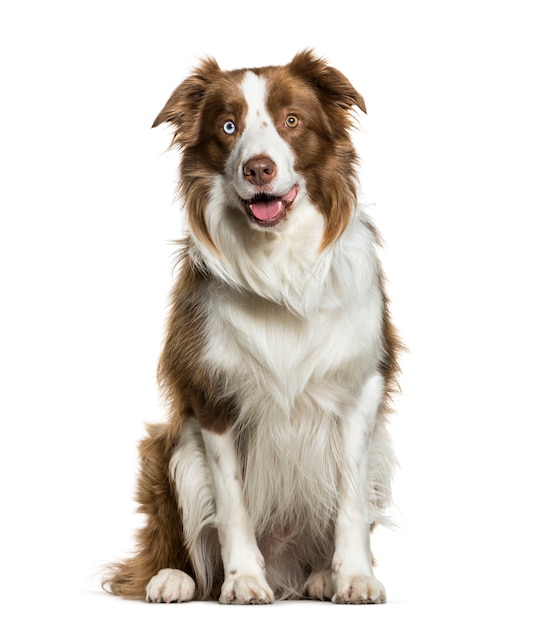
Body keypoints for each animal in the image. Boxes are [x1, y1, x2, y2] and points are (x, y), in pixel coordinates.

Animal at [103, 50, 398, 604]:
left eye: (292, 121)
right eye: (228, 126)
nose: (258, 167)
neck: (280, 263)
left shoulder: (360, 387)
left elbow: (350, 500)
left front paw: (354, 577)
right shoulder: (211, 396)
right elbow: (232, 501)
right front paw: (243, 580)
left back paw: (320, 575)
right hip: (169, 449)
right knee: (183, 550)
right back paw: (174, 579)